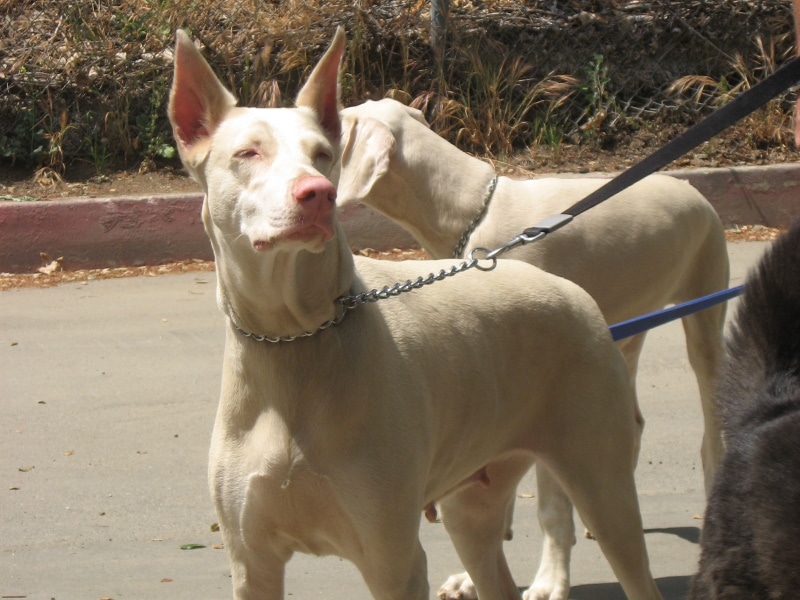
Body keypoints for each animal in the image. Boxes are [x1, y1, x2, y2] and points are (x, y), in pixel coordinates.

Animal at [167, 29, 664, 600]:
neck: (296, 338)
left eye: (323, 155)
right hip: (473, 502)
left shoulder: (393, 560)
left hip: (602, 484)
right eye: (248, 152)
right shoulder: (252, 564)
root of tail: (576, 295)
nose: (318, 194)